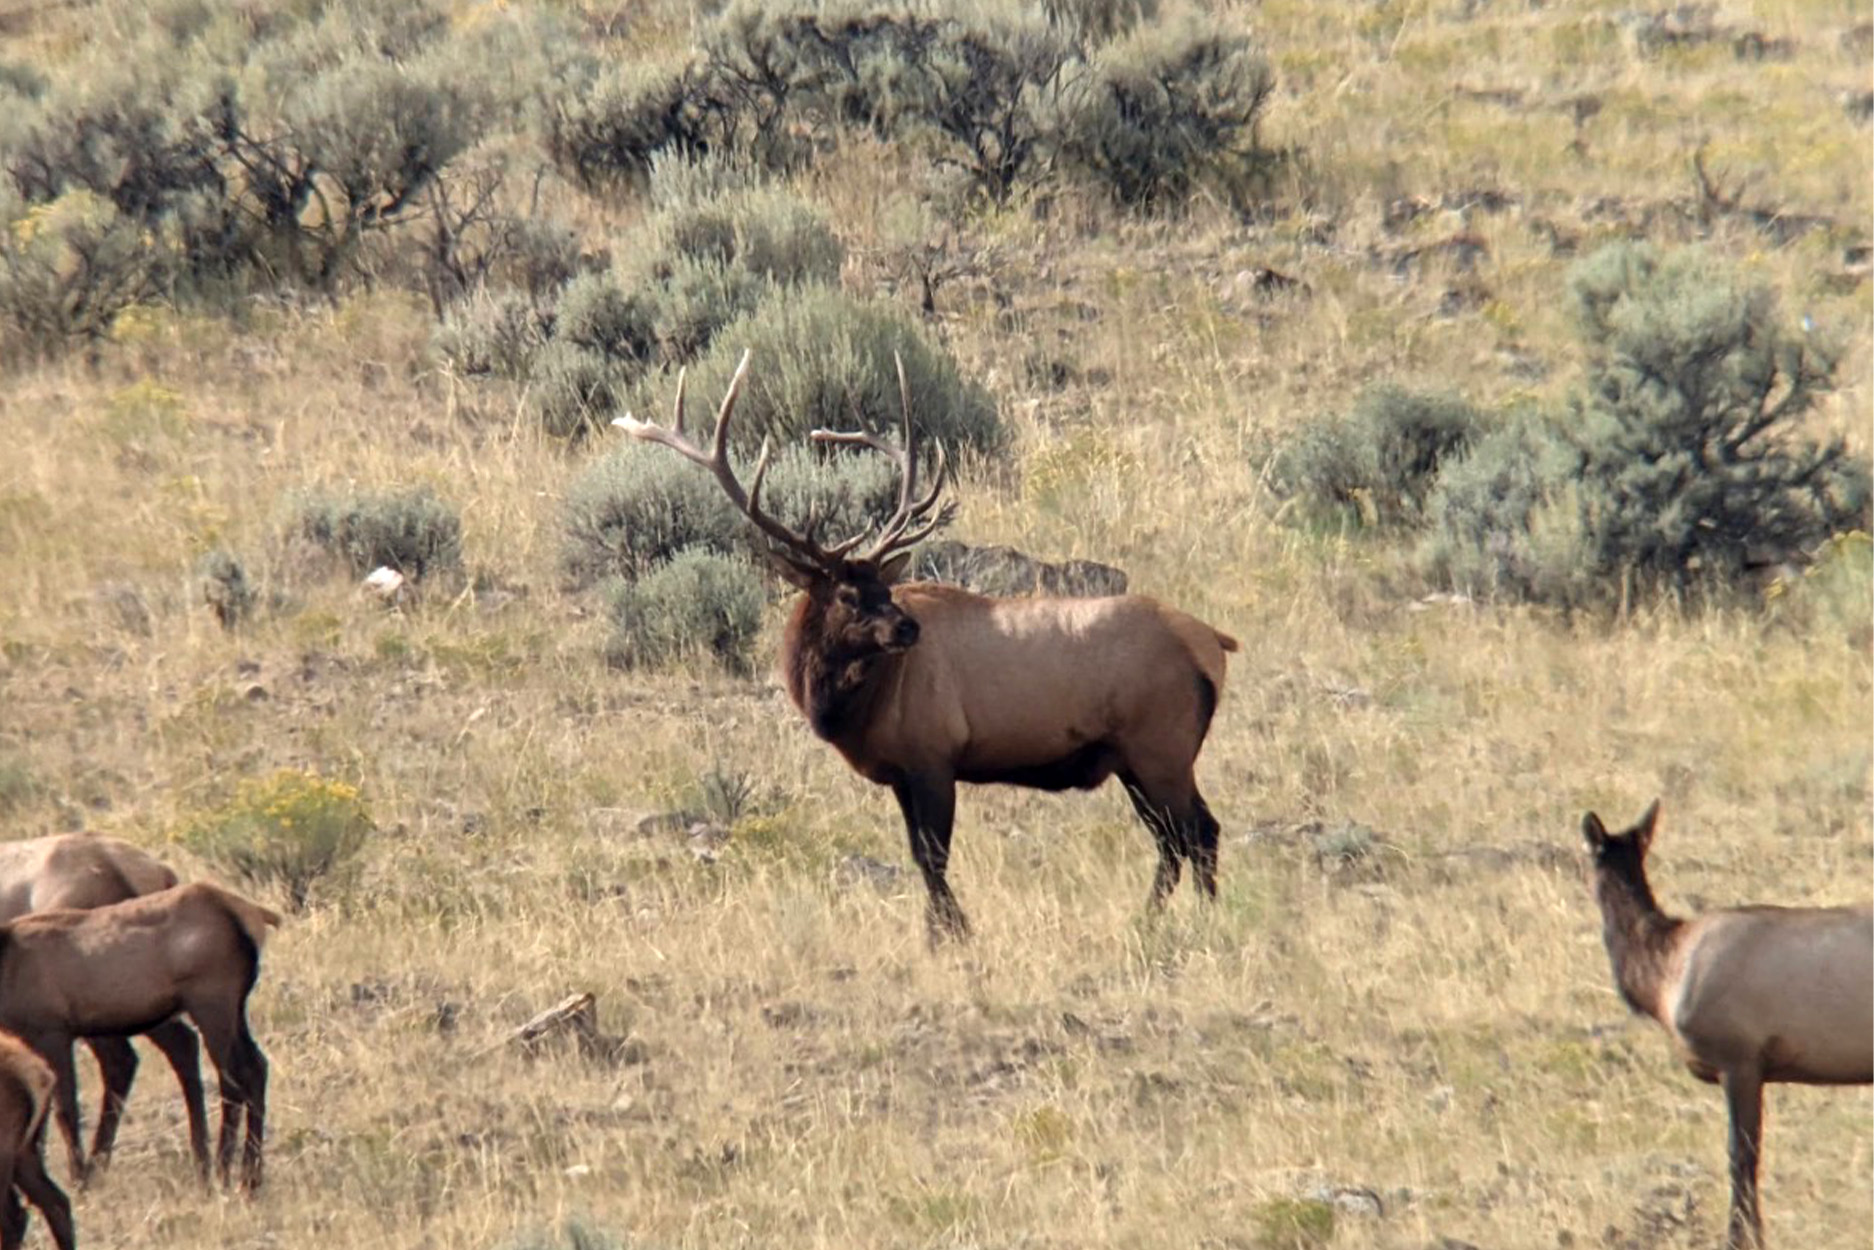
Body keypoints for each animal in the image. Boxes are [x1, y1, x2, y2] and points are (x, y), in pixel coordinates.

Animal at [0, 881, 280, 1192]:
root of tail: (251, 915)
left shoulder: (53, 1031)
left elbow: (65, 1110)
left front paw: (78, 1180)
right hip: (233, 1010)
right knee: (256, 1066)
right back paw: (249, 1176)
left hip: (211, 1003)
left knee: (233, 1076)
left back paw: (224, 1172)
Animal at [617, 351, 1239, 944]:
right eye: (849, 593)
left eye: (885, 589)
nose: (907, 629)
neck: (848, 709)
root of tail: (1213, 642)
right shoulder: (900, 774)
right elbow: (920, 857)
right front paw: (943, 932)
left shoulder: (932, 756)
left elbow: (933, 857)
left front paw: (949, 937)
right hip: (1134, 759)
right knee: (1178, 838)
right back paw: (1158, 919)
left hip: (1160, 746)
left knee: (1196, 832)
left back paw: (1197, 919)